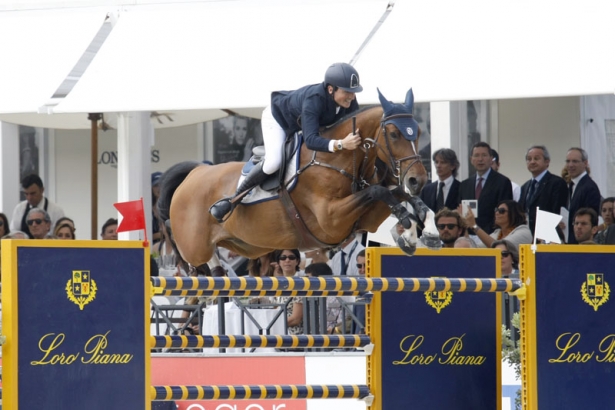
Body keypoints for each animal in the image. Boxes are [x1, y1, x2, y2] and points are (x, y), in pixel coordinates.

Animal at [158, 87, 438, 272]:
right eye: (393, 134)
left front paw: (419, 233)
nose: (418, 180)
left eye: (418, 132)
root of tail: (194, 172)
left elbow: (398, 195)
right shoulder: (331, 219)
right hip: (195, 245)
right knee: (191, 253)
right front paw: (407, 225)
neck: (340, 160)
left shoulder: (365, 218)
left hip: (248, 245)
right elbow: (381, 192)